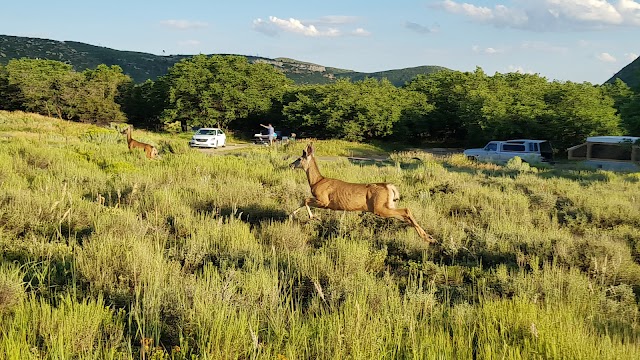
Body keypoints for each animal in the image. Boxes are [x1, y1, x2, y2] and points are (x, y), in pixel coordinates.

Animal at [290, 143, 436, 242]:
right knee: (406, 215)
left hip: (379, 207)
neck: (317, 181)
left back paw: (427, 237)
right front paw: (292, 215)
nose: (290, 165)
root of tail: (389, 187)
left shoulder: (324, 200)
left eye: (299, 158)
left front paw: (313, 217)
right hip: (388, 205)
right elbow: (302, 201)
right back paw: (429, 237)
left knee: (406, 210)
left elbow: (305, 200)